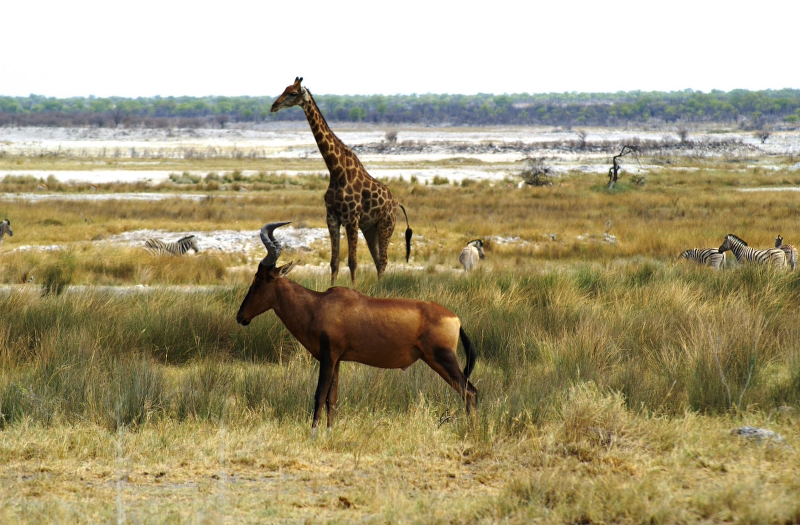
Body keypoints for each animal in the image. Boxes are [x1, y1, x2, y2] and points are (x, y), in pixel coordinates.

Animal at [271, 77, 412, 285]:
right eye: (285, 89)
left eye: (293, 93)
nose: (274, 106)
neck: (337, 171)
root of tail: (396, 203)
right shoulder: (332, 217)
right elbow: (334, 262)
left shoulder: (351, 219)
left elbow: (352, 262)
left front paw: (353, 290)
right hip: (370, 228)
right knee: (378, 260)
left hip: (386, 225)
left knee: (384, 260)